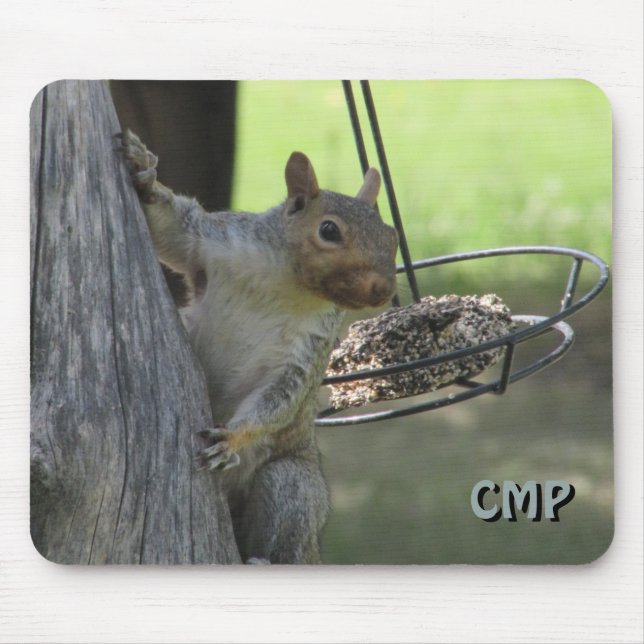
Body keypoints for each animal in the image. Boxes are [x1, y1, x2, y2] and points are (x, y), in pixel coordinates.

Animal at [121, 129, 398, 564]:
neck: (286, 284)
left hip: (291, 487)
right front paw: (145, 174)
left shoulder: (305, 353)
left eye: (391, 236)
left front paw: (232, 438)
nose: (384, 289)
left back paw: (263, 558)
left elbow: (280, 399)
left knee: (284, 523)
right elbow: (173, 231)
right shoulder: (213, 242)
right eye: (329, 231)